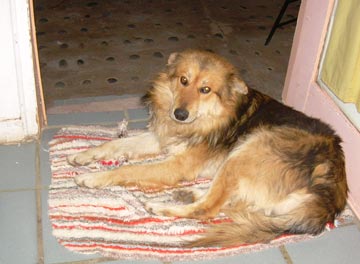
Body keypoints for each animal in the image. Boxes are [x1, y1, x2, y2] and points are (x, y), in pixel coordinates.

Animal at [66, 49, 348, 248]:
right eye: (183, 80)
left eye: (205, 90)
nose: (179, 114)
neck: (211, 115)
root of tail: (330, 192)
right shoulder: (161, 138)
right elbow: (116, 143)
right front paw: (84, 155)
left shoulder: (176, 165)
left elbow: (128, 171)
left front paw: (94, 177)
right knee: (226, 200)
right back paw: (190, 193)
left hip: (248, 149)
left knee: (209, 208)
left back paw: (162, 207)